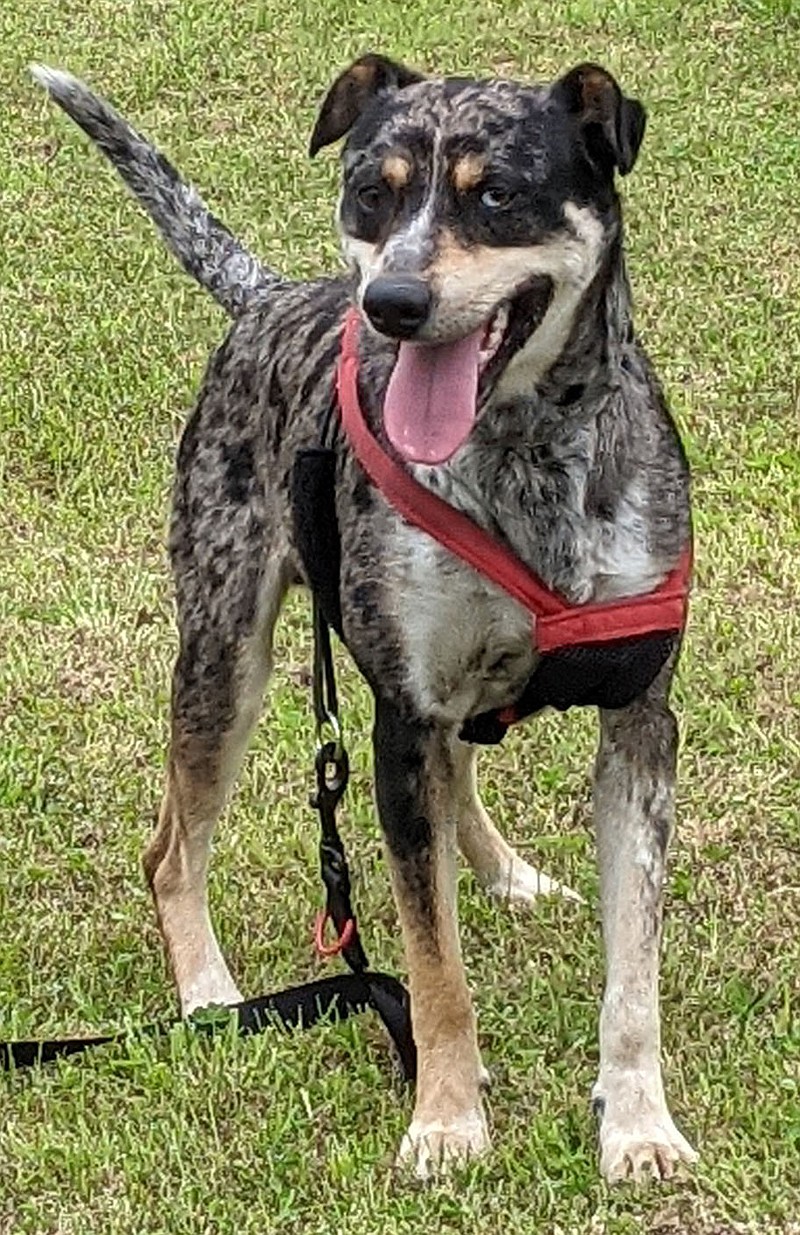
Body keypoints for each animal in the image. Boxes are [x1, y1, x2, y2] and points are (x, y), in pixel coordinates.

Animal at [32, 53, 691, 1180]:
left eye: (495, 195)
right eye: (369, 192)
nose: (390, 301)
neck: (525, 453)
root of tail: (270, 296)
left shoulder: (636, 718)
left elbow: (634, 970)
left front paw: (639, 1124)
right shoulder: (399, 720)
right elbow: (433, 969)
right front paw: (446, 1120)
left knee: (461, 771)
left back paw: (508, 873)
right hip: (224, 656)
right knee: (172, 849)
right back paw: (207, 991)